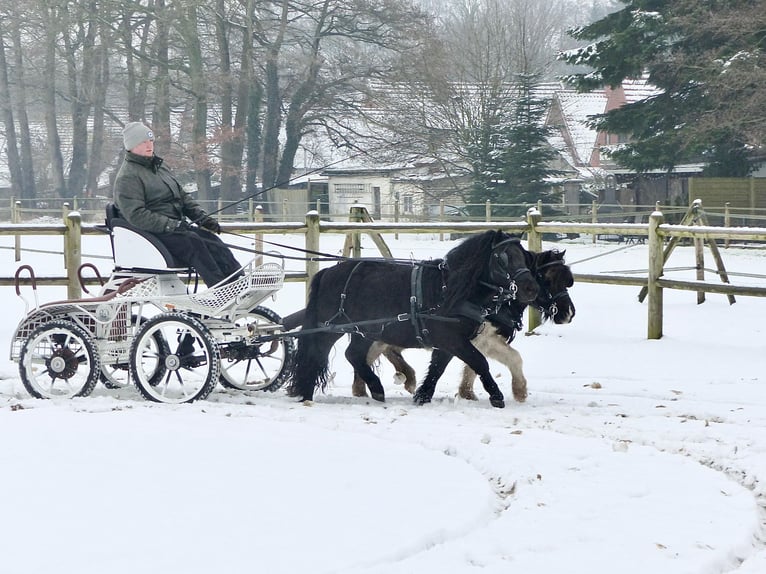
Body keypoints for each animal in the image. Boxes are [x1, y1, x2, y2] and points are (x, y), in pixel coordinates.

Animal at [286, 230, 540, 410]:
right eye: (502, 258)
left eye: (523, 256)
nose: (531, 288)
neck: (449, 290)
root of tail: (327, 272)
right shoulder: (453, 339)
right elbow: (479, 362)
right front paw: (496, 396)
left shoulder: (449, 342)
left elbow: (438, 367)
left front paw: (422, 395)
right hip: (329, 329)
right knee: (315, 355)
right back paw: (307, 393)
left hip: (367, 331)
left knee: (353, 355)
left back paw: (376, 389)